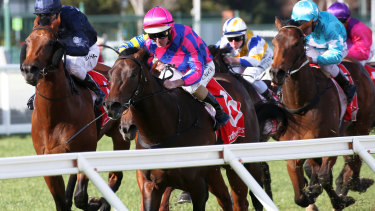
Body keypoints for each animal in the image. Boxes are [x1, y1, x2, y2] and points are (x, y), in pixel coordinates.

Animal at [20, 15, 131, 211]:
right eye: (27, 41)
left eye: (50, 42)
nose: (28, 70)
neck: (53, 116)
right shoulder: (49, 161)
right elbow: (62, 202)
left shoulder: (86, 149)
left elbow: (80, 197)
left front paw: (95, 202)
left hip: (120, 136)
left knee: (116, 177)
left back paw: (104, 203)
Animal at [103, 47, 264, 211]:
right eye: (110, 74)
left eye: (133, 74)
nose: (111, 106)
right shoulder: (150, 185)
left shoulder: (198, 186)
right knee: (225, 198)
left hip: (244, 161)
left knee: (242, 201)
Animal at [270, 16, 375, 209]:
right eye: (274, 42)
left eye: (296, 43)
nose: (276, 73)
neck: (302, 104)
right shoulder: (294, 150)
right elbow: (300, 196)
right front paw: (311, 194)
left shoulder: (331, 141)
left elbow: (325, 177)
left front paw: (340, 200)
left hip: (361, 126)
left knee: (353, 162)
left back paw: (356, 183)